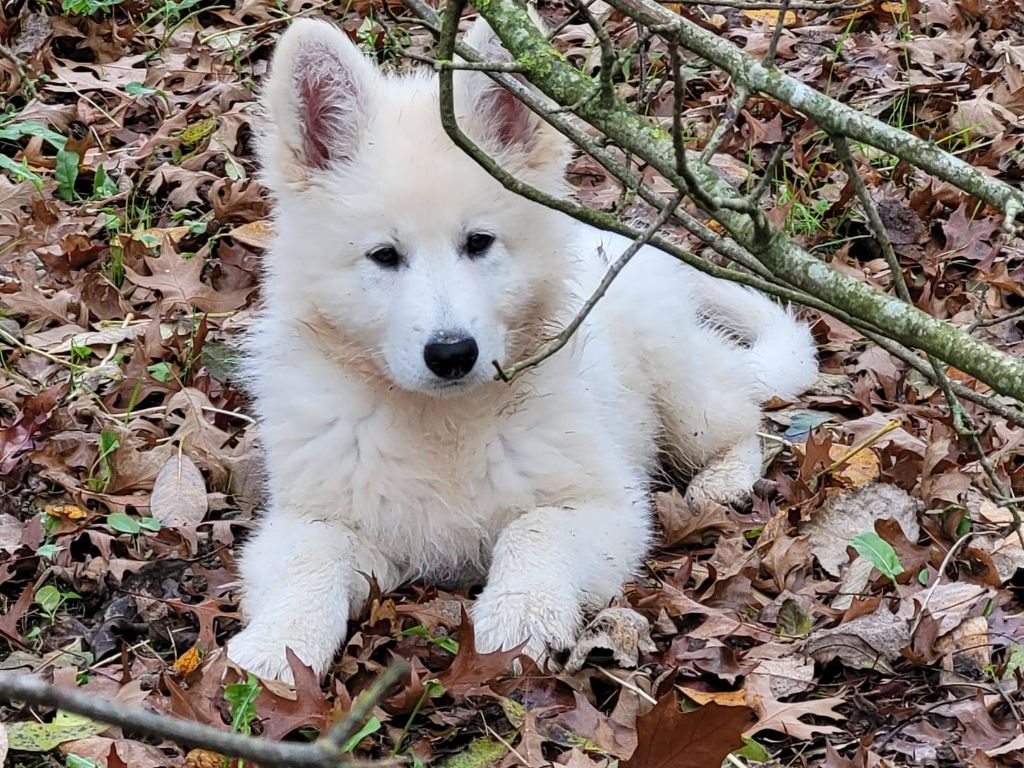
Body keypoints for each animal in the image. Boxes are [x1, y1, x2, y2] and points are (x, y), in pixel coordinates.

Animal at [228, 18, 819, 684]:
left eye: (479, 243)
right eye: (384, 255)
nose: (452, 354)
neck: (441, 421)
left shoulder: (605, 505)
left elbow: (537, 528)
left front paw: (519, 617)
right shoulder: (310, 517)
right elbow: (309, 561)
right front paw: (275, 647)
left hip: (677, 382)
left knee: (742, 418)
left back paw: (723, 479)